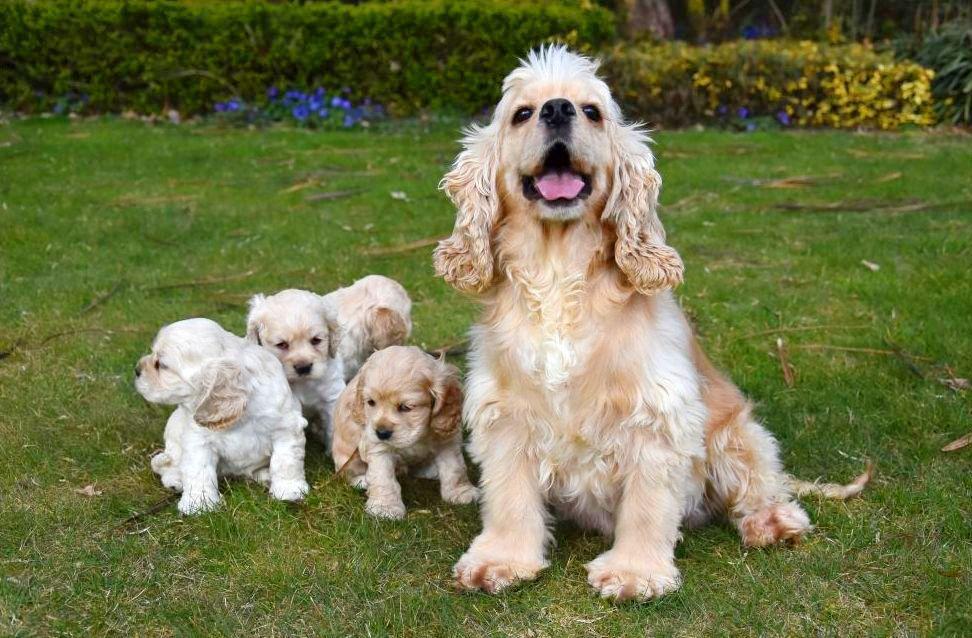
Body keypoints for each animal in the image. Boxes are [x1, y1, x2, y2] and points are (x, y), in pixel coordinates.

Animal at [135, 318, 310, 516]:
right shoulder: (198, 439)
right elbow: (198, 470)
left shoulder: (286, 428)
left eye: (162, 365)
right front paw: (198, 503)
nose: (136, 370)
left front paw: (289, 490)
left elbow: (286, 462)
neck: (242, 414)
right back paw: (176, 481)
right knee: (166, 466)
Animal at [247, 292, 346, 450]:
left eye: (316, 340)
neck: (304, 383)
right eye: (281, 344)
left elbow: (334, 427)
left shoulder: (332, 394)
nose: (303, 367)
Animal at [330, 348, 478, 524]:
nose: (381, 432)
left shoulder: (446, 438)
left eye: (406, 407)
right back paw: (362, 480)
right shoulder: (377, 445)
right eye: (371, 402)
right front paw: (385, 508)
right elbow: (382, 477)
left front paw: (461, 492)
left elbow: (455, 468)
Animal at [432, 47, 864, 604]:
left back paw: (771, 522)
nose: (557, 109)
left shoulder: (657, 417)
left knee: (761, 484)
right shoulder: (506, 416)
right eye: (521, 114)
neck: (559, 271)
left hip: (736, 434)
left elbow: (647, 505)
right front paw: (502, 560)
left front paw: (634, 572)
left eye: (592, 111)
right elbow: (509, 498)